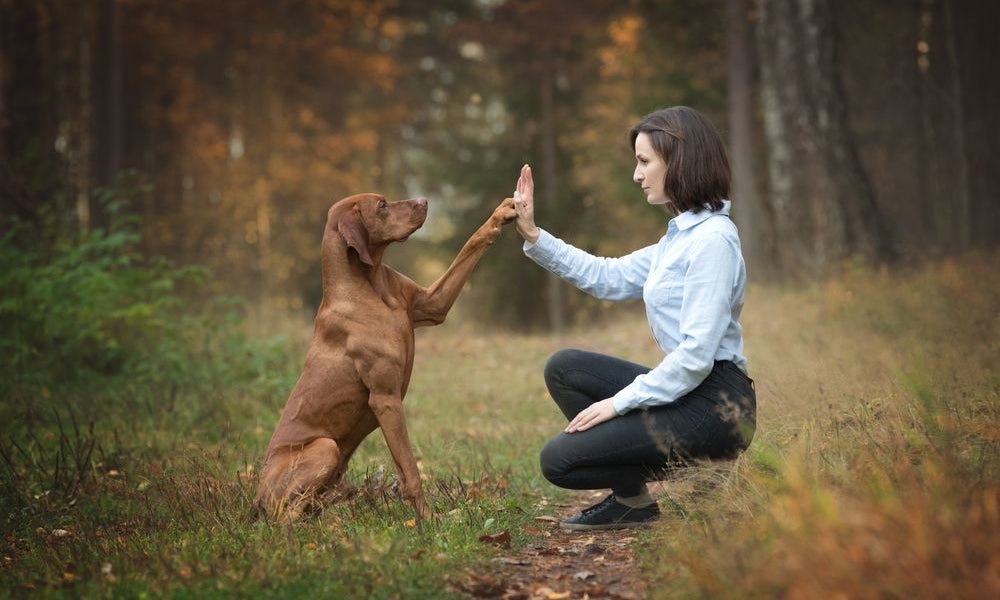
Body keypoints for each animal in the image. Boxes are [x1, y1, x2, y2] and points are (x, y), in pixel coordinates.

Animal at [254, 192, 520, 520]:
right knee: (285, 515)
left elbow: (471, 243)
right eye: (381, 206)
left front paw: (501, 213)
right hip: (324, 448)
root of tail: (256, 496)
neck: (370, 286)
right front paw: (428, 519)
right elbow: (411, 470)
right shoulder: (386, 399)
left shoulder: (433, 304)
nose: (424, 201)